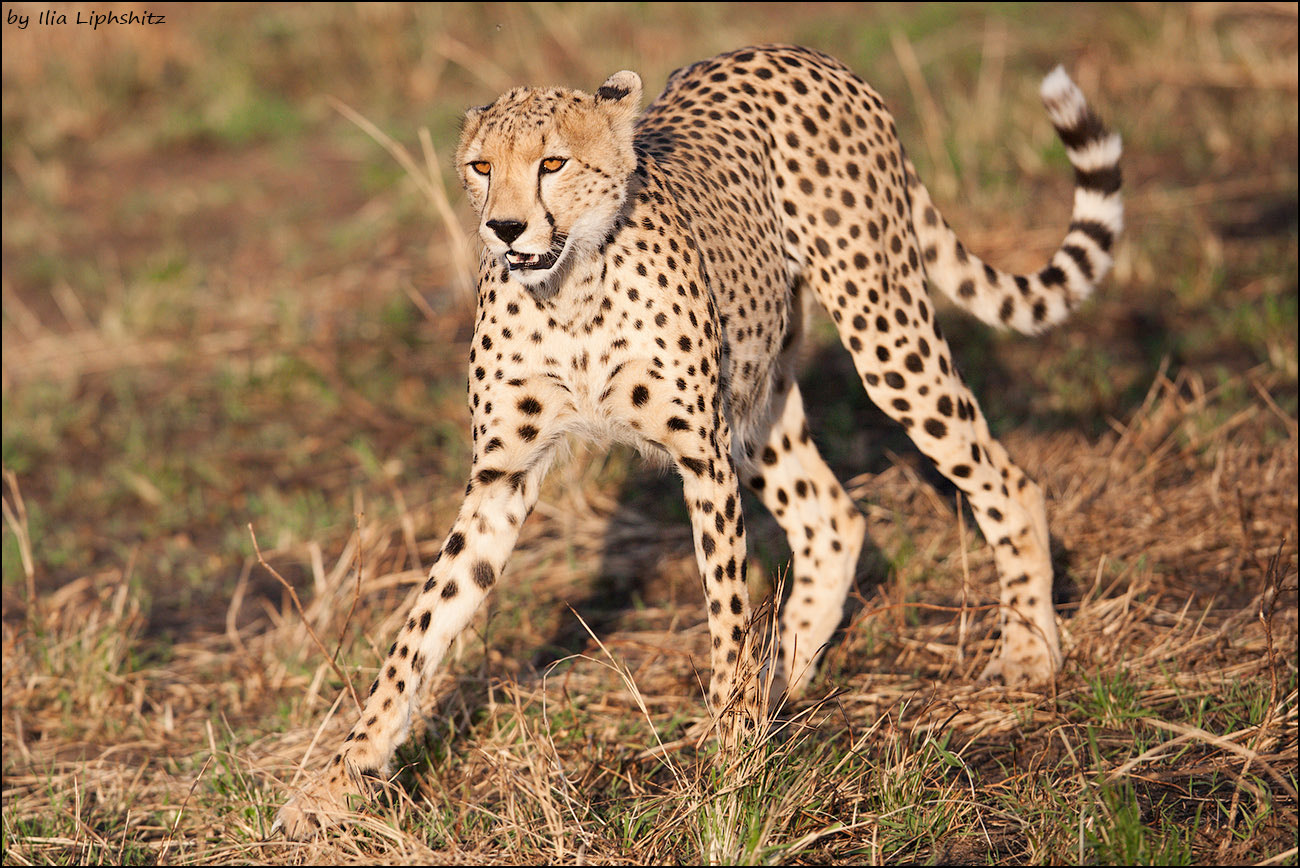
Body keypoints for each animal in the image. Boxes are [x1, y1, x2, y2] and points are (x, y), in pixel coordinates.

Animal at [271, 44, 1118, 836]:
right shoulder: (502, 479)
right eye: (481, 166)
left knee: (1005, 480)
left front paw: (733, 768)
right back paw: (783, 681)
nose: (503, 227)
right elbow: (422, 627)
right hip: (757, 393)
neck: (568, 292)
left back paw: (1026, 652)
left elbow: (726, 611)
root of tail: (803, 55)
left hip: (882, 329)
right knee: (831, 518)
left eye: (552, 163)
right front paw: (337, 781)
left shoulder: (701, 456)